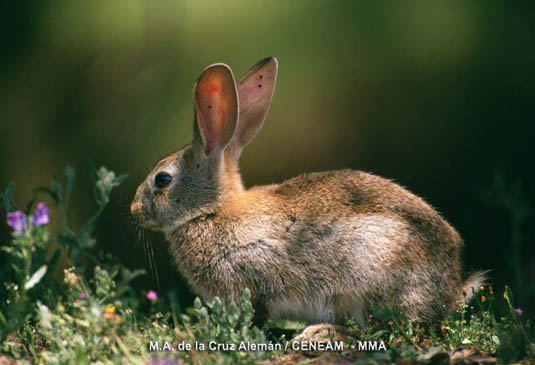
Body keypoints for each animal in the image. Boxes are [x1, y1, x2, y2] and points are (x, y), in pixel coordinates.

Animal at [132, 57, 488, 328]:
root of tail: (450, 288)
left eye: (162, 180)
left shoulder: (249, 278)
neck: (211, 211)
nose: (135, 210)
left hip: (364, 282)